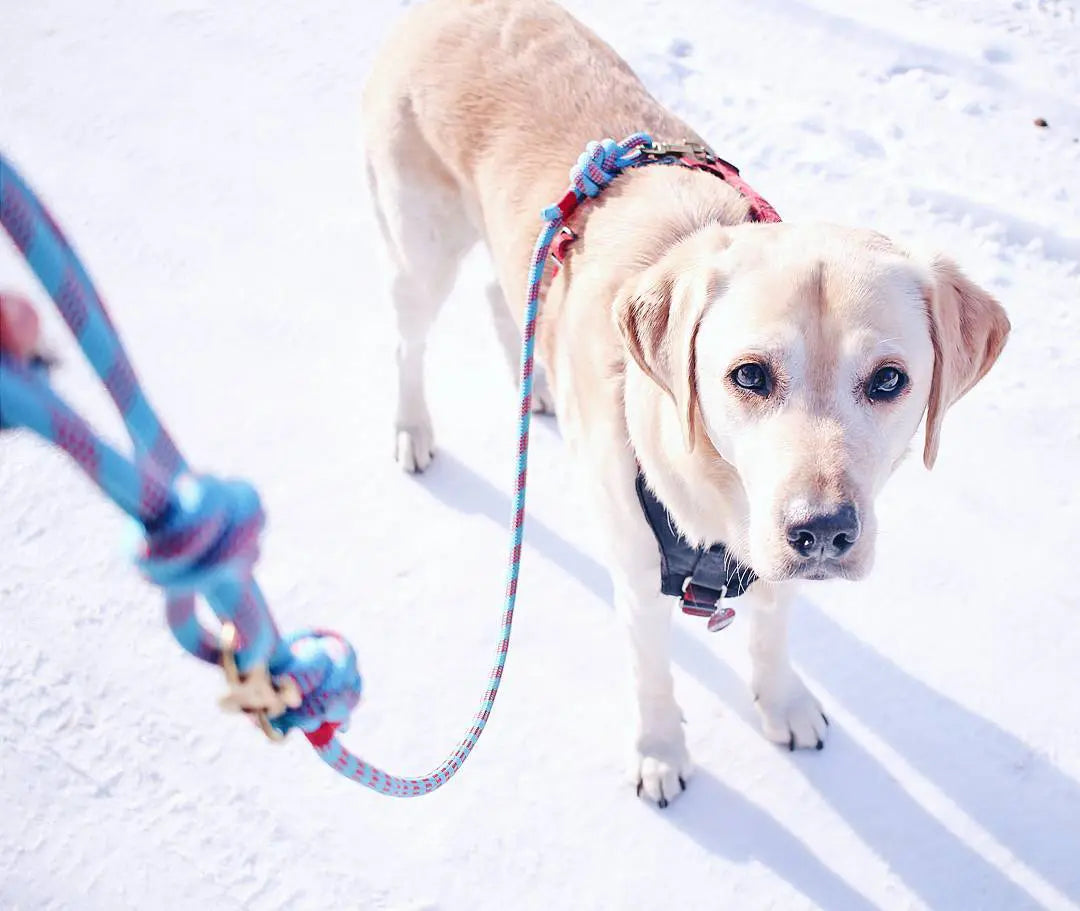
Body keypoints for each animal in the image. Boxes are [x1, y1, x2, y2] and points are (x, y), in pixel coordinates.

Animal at [365, 0, 1010, 803]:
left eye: (890, 380)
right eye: (750, 375)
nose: (823, 531)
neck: (717, 504)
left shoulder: (770, 560)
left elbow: (771, 632)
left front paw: (784, 702)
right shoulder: (639, 574)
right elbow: (652, 674)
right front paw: (660, 751)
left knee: (502, 293)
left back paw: (536, 384)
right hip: (421, 248)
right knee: (408, 342)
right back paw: (412, 428)